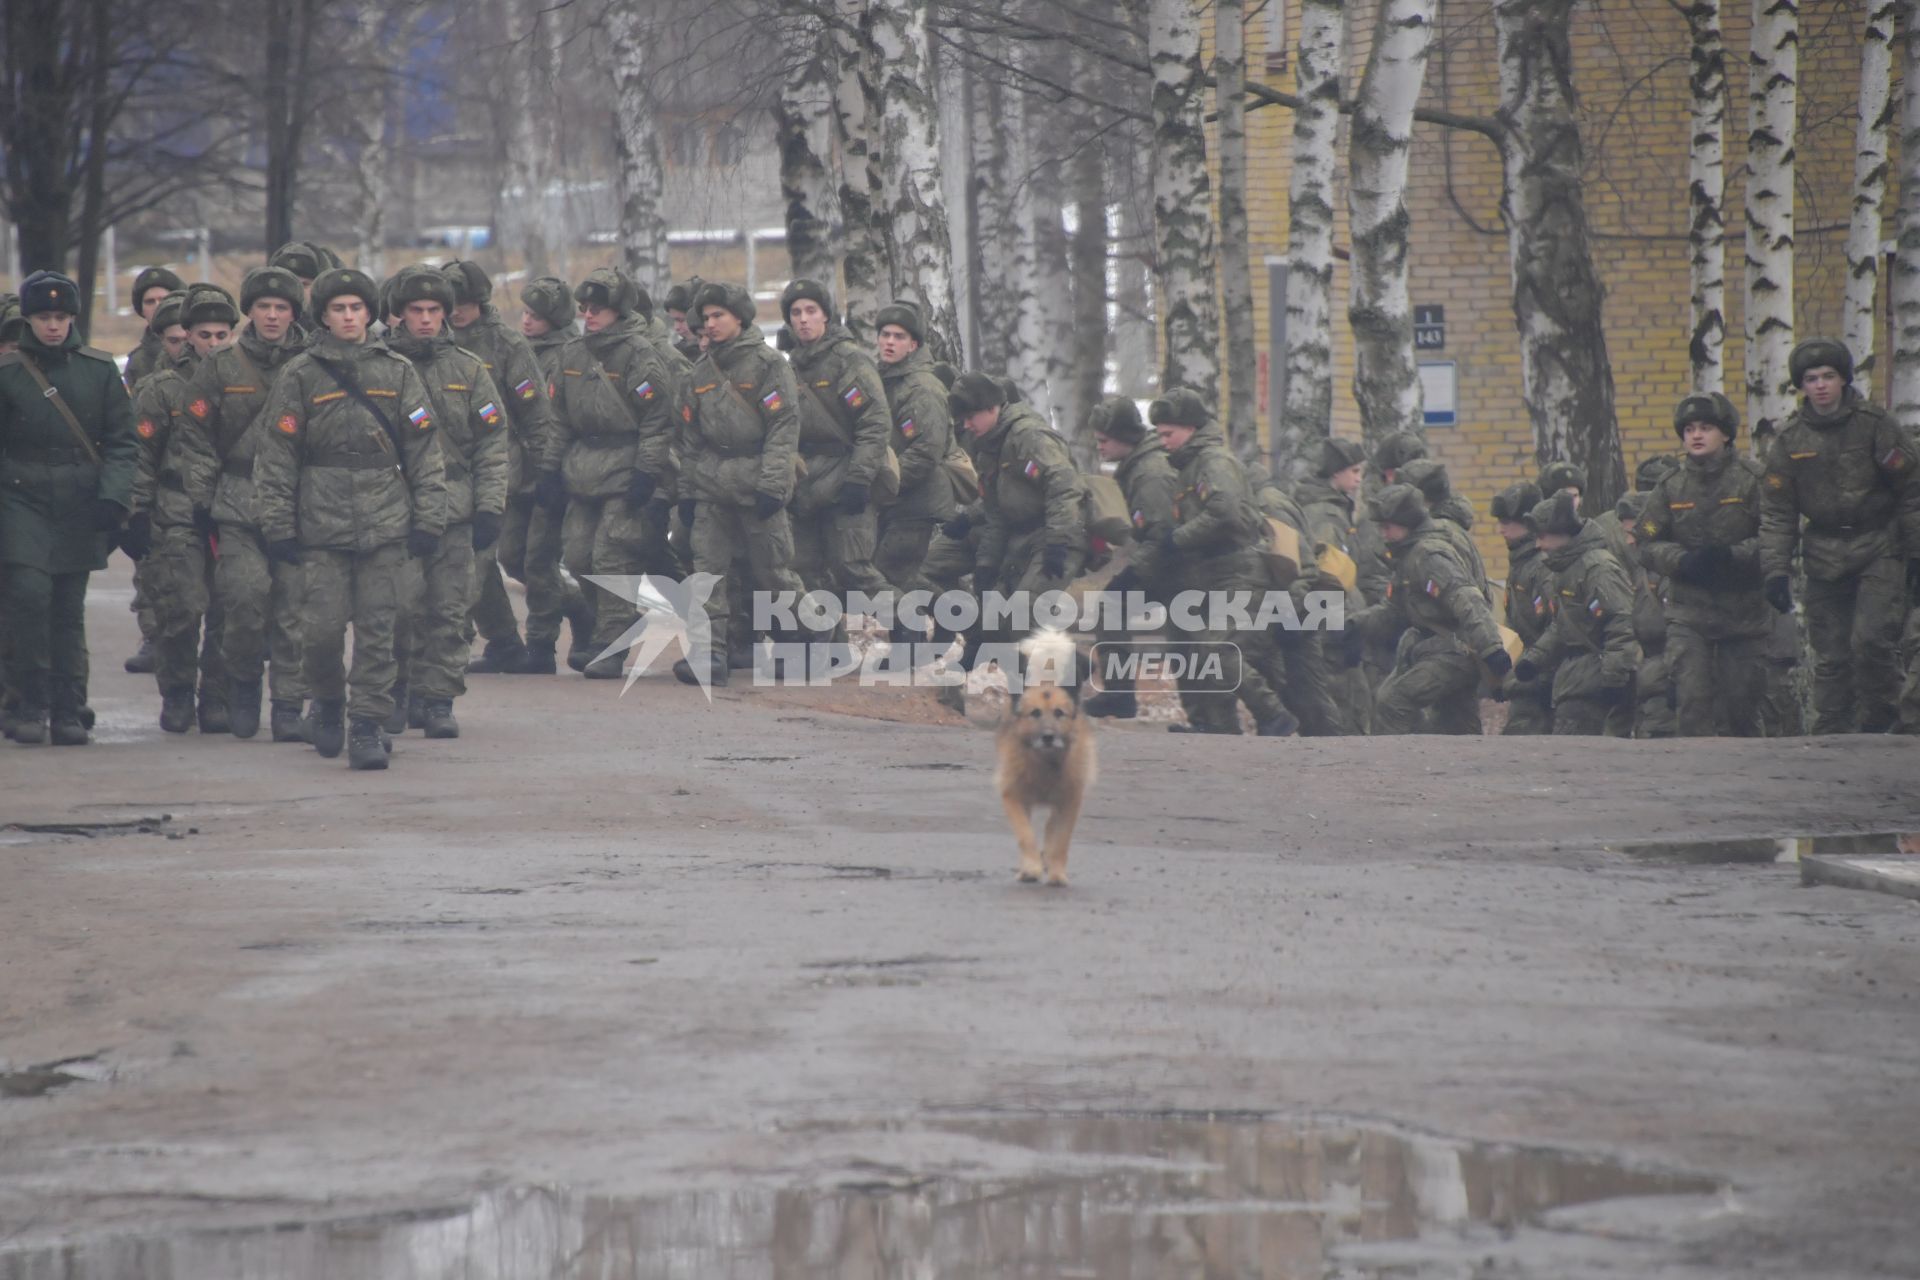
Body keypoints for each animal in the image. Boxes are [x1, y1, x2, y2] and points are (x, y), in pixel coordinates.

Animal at [1006, 625, 1098, 886]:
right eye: (1028, 678)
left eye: (1071, 680)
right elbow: (1026, 831)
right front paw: (1030, 867)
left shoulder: (1069, 791)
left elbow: (1056, 829)